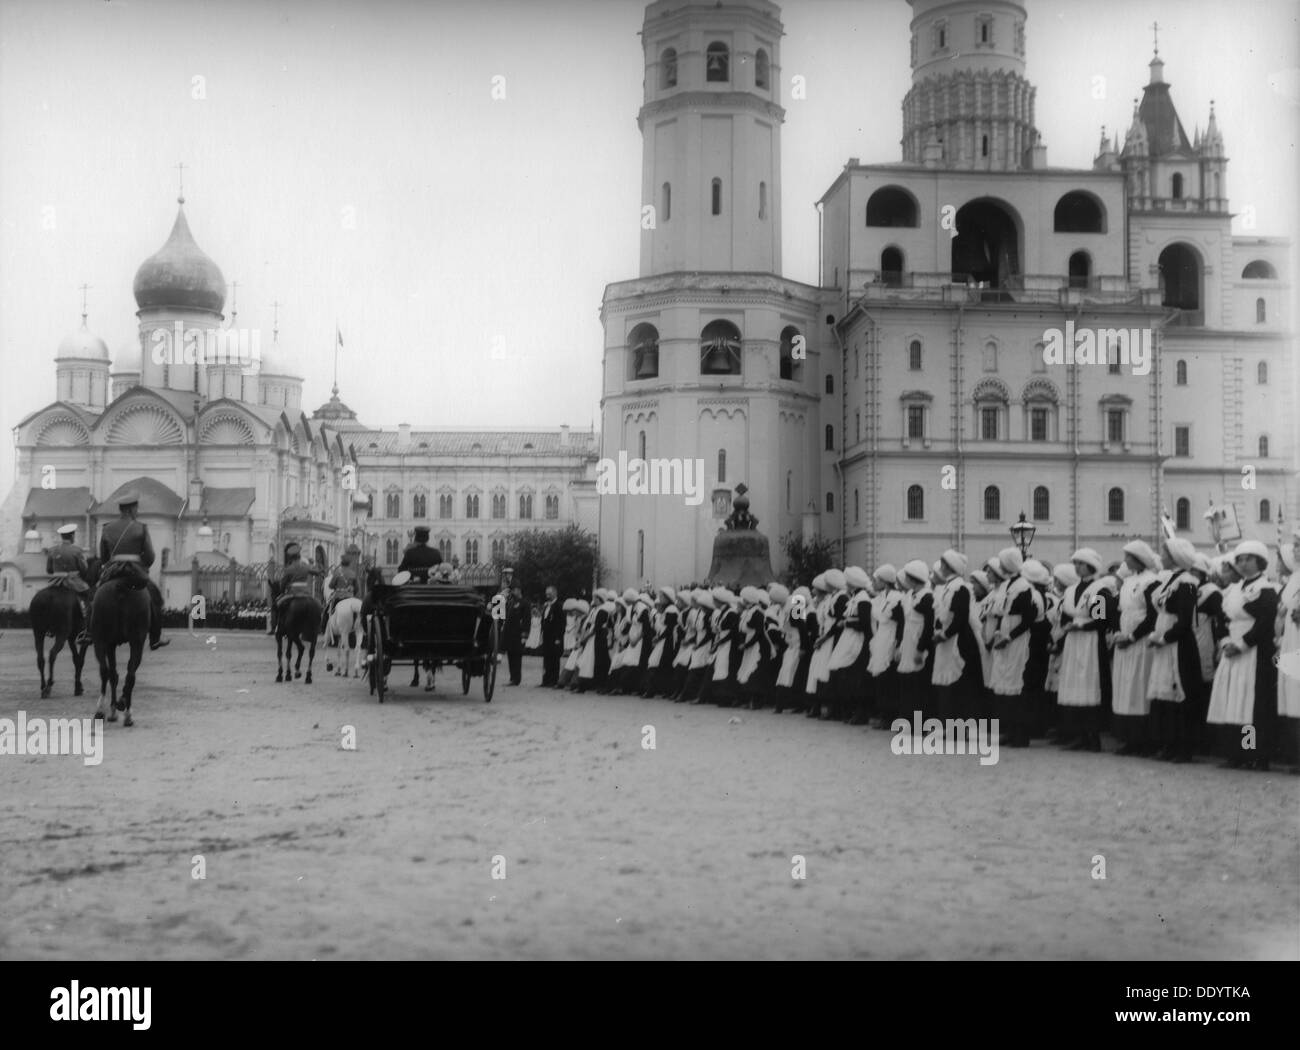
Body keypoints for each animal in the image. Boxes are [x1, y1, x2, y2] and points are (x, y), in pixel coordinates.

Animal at [29, 558, 95, 696]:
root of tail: (49, 597)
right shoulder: (83, 639)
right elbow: (80, 660)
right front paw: (78, 687)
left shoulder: (71, 638)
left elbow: (76, 659)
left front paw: (78, 686)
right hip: (61, 634)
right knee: (52, 654)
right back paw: (49, 685)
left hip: (38, 632)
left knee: (40, 658)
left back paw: (43, 686)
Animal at [91, 561, 150, 727]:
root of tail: (121, 584)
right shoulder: (114, 644)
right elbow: (116, 674)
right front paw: (117, 707)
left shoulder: (109, 645)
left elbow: (113, 674)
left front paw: (112, 710)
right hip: (136, 642)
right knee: (130, 674)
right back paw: (125, 710)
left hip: (102, 641)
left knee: (106, 671)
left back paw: (104, 710)